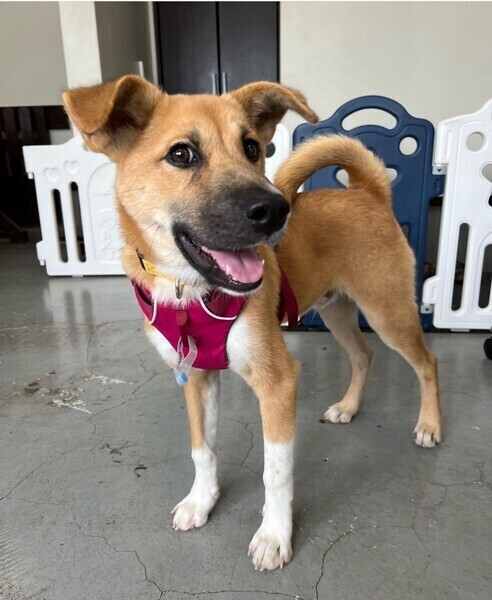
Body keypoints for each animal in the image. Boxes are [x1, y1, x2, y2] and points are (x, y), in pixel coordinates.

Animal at [62, 76, 442, 571]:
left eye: (251, 147)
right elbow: (202, 449)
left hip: (387, 310)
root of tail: (368, 192)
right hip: (337, 311)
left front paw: (274, 535)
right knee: (364, 355)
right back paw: (348, 407)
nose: (276, 210)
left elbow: (275, 471)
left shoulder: (277, 382)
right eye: (181, 154)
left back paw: (430, 425)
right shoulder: (196, 377)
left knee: (427, 363)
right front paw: (202, 501)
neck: (188, 291)